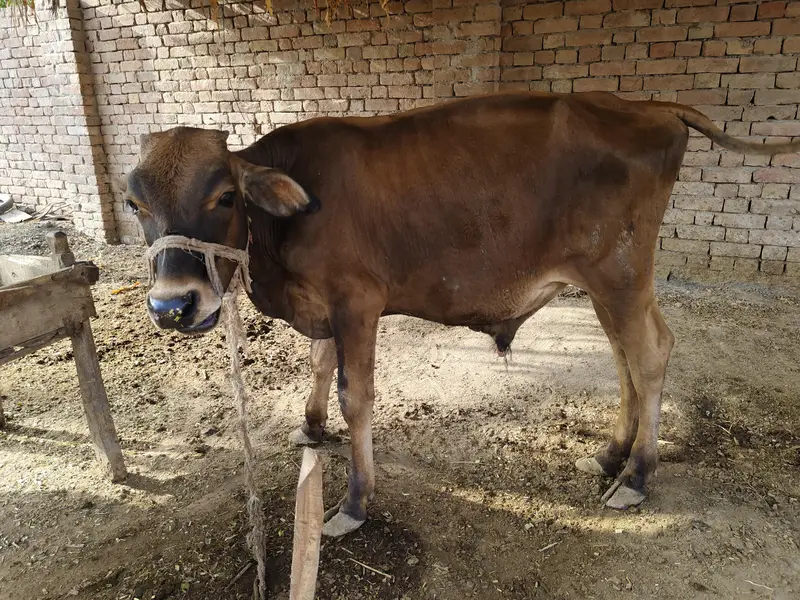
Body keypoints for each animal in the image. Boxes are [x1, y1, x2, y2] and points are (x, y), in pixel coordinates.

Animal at [125, 92, 800, 537]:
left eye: (225, 196)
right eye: (134, 203)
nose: (173, 305)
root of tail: (650, 104)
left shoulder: (357, 301)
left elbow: (355, 395)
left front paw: (355, 502)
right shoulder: (323, 304)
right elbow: (319, 364)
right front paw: (311, 428)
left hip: (621, 273)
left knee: (650, 354)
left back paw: (635, 477)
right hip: (607, 284)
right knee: (623, 357)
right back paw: (610, 455)